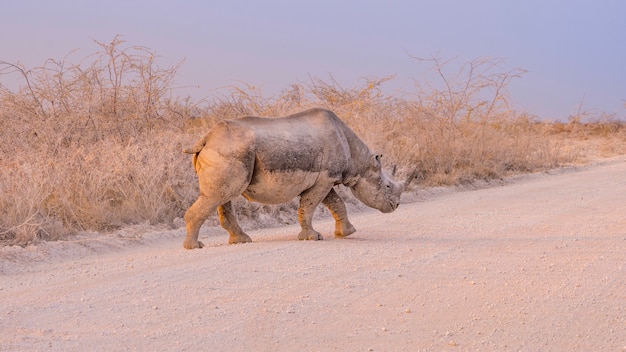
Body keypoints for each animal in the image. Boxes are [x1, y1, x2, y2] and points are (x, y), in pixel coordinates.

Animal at [180, 107, 404, 248]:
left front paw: (347, 233)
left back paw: (241, 241)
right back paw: (195, 246)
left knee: (222, 196)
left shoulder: (326, 178)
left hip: (228, 151)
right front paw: (313, 237)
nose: (396, 206)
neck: (359, 160)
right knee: (218, 196)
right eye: (387, 187)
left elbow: (336, 203)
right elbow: (310, 206)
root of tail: (206, 139)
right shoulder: (325, 178)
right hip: (229, 150)